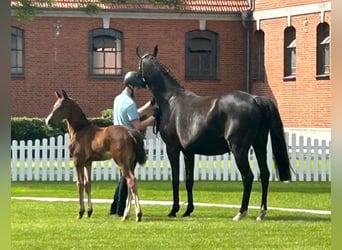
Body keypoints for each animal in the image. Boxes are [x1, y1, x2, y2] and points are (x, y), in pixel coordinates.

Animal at [46, 91, 145, 222]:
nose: (47, 121)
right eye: (54, 105)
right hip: (130, 163)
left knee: (131, 181)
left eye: (61, 107)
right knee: (130, 184)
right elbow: (88, 184)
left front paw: (80, 212)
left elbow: (80, 184)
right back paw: (126, 215)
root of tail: (129, 132)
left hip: (122, 163)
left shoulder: (78, 161)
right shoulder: (88, 162)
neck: (80, 130)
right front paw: (89, 211)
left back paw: (138, 215)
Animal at [136, 46, 292, 221]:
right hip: (259, 145)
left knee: (248, 177)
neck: (171, 99)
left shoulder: (173, 149)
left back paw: (241, 212)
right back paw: (261, 212)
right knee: (264, 174)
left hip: (239, 150)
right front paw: (188, 210)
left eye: (139, 64)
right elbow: (189, 180)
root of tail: (255, 99)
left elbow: (175, 179)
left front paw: (174, 210)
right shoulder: (189, 152)